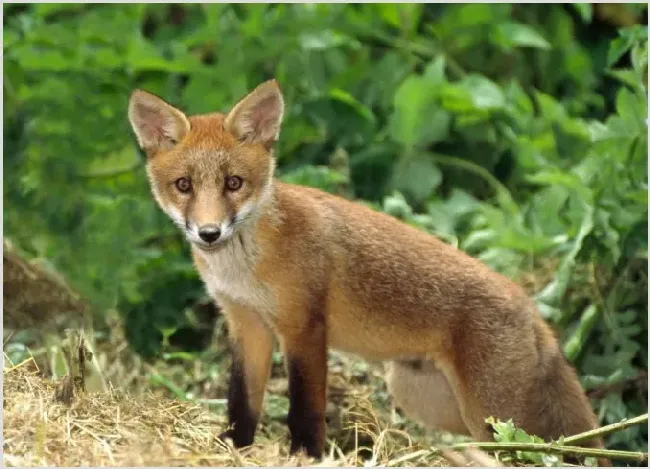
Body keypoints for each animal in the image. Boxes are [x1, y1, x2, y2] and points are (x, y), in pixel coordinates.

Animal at [128, 78, 608, 462]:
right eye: (184, 185)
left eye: (233, 183)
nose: (209, 233)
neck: (244, 268)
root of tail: (531, 307)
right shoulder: (248, 325)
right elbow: (241, 405)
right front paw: (233, 451)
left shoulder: (304, 328)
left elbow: (304, 412)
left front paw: (306, 457)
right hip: (425, 398)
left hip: (493, 414)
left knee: (541, 451)